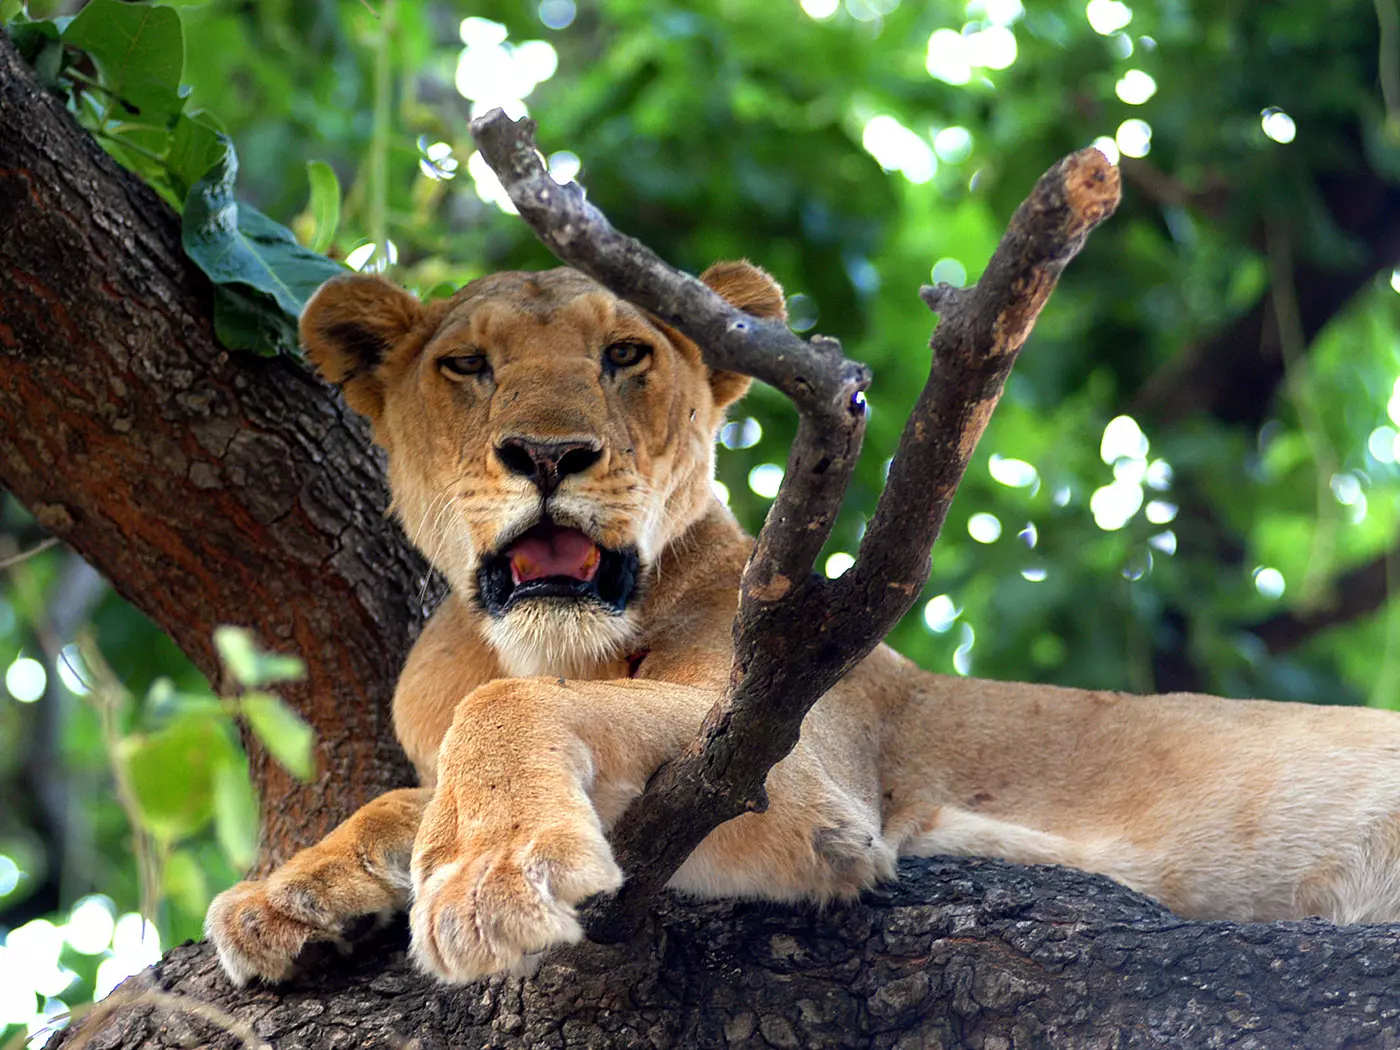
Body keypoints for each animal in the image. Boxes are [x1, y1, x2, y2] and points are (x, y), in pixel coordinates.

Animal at [206, 261, 1400, 986]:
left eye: (625, 355)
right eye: (466, 365)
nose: (549, 455)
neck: (564, 640)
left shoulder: (803, 770)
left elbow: (512, 705)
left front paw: (487, 877)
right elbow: (414, 788)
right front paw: (296, 892)